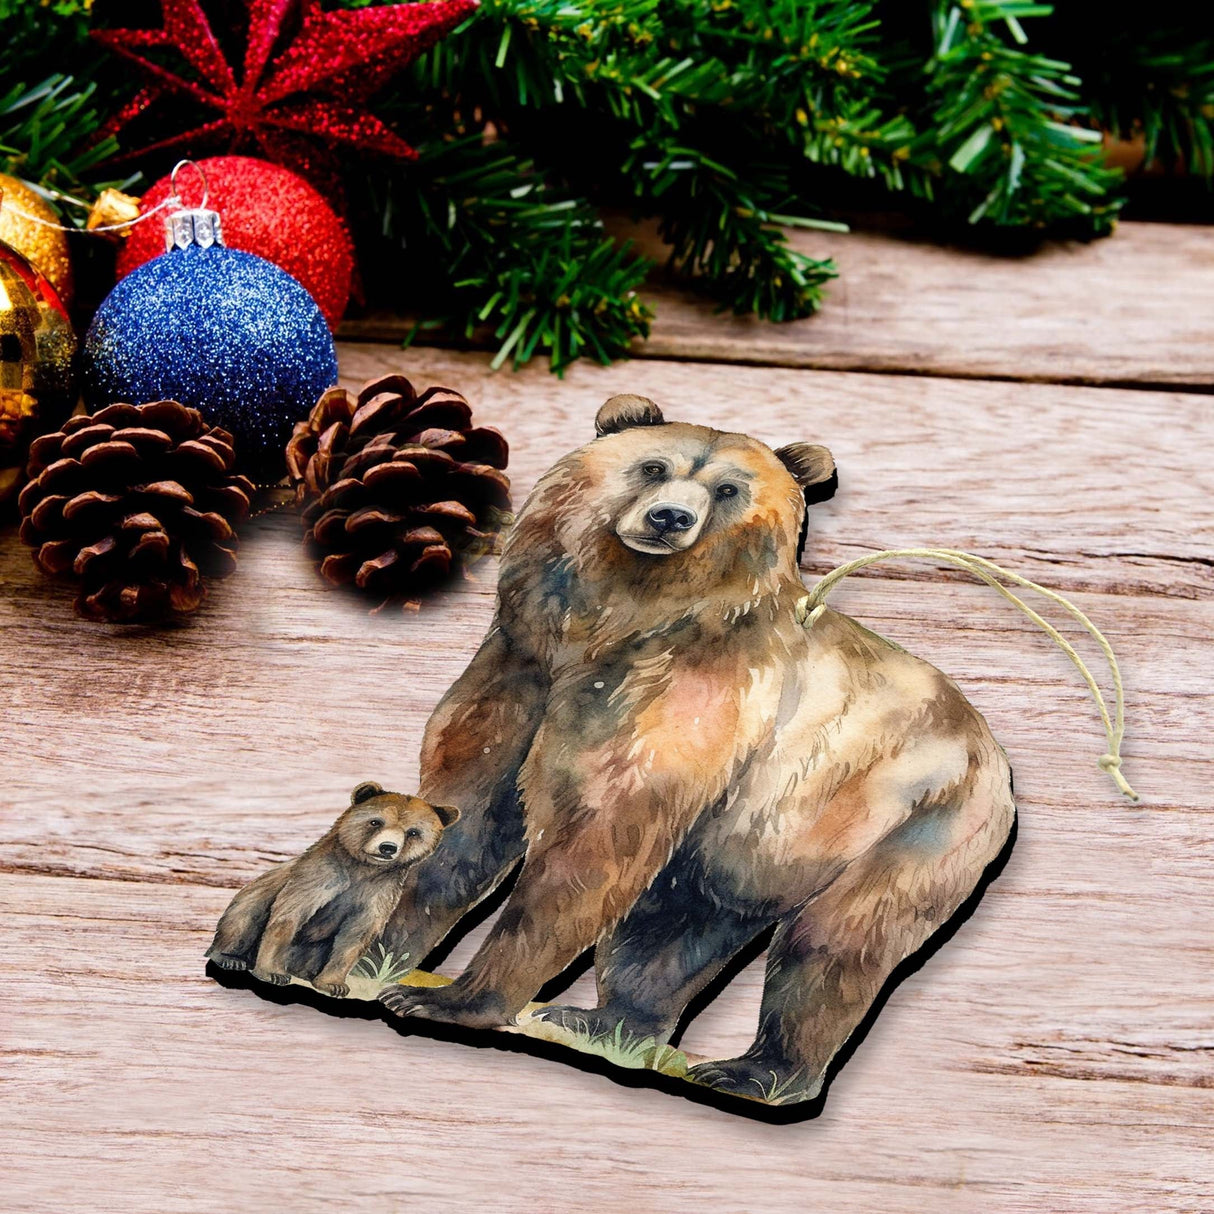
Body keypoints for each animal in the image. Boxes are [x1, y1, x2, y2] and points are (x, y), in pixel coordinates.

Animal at [207, 782, 459, 997]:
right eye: (376, 822)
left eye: (413, 832)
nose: (387, 848)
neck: (362, 869)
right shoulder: (319, 877)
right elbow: (289, 916)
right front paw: (272, 972)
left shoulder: (378, 893)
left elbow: (355, 936)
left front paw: (333, 984)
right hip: (252, 899)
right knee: (242, 919)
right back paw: (230, 957)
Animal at [375, 394, 1015, 1104]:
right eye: (655, 466)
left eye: (729, 489)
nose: (670, 517)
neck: (615, 619)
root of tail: (996, 758)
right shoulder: (520, 671)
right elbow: (468, 810)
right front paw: (376, 958)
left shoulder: (683, 707)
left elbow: (589, 848)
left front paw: (452, 998)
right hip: (742, 849)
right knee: (676, 924)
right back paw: (604, 1021)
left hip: (913, 823)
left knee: (833, 944)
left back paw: (754, 1071)